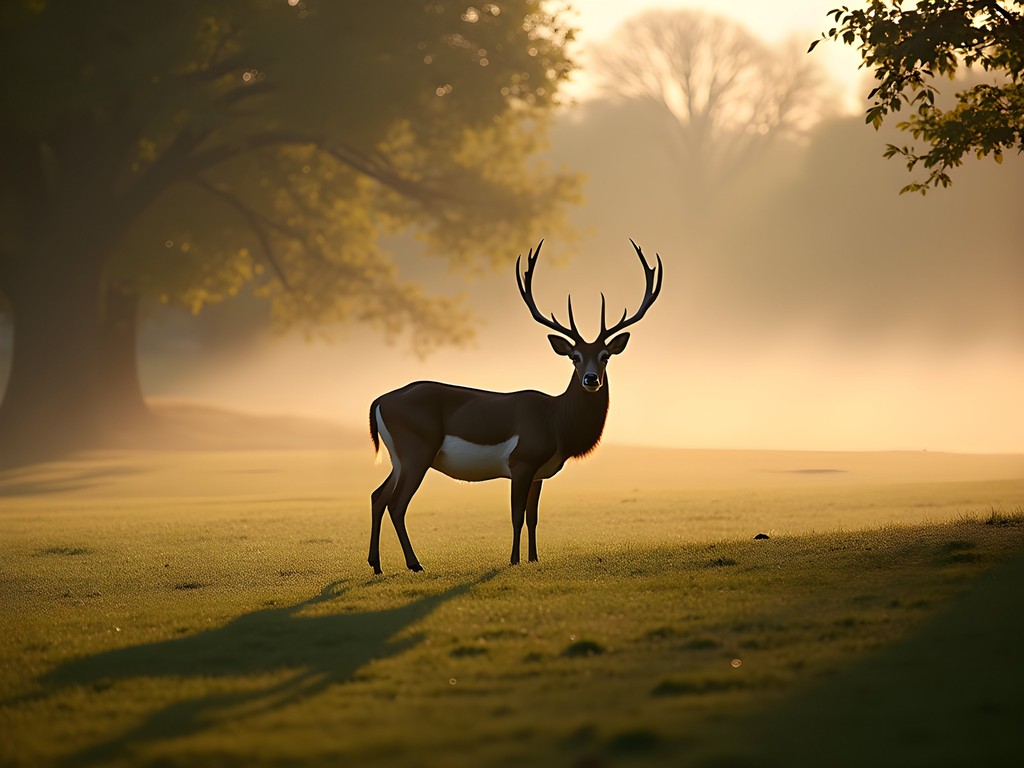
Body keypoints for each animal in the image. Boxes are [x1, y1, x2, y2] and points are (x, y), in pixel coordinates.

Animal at [367, 239, 663, 574]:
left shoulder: (538, 473)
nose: (591, 379)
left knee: (378, 496)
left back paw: (376, 564)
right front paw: (513, 560)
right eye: (574, 356)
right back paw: (415, 564)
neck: (556, 421)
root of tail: (379, 401)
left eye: (605, 356)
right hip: (417, 451)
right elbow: (516, 515)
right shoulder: (521, 462)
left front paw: (534, 558)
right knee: (396, 503)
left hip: (398, 458)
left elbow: (533, 517)